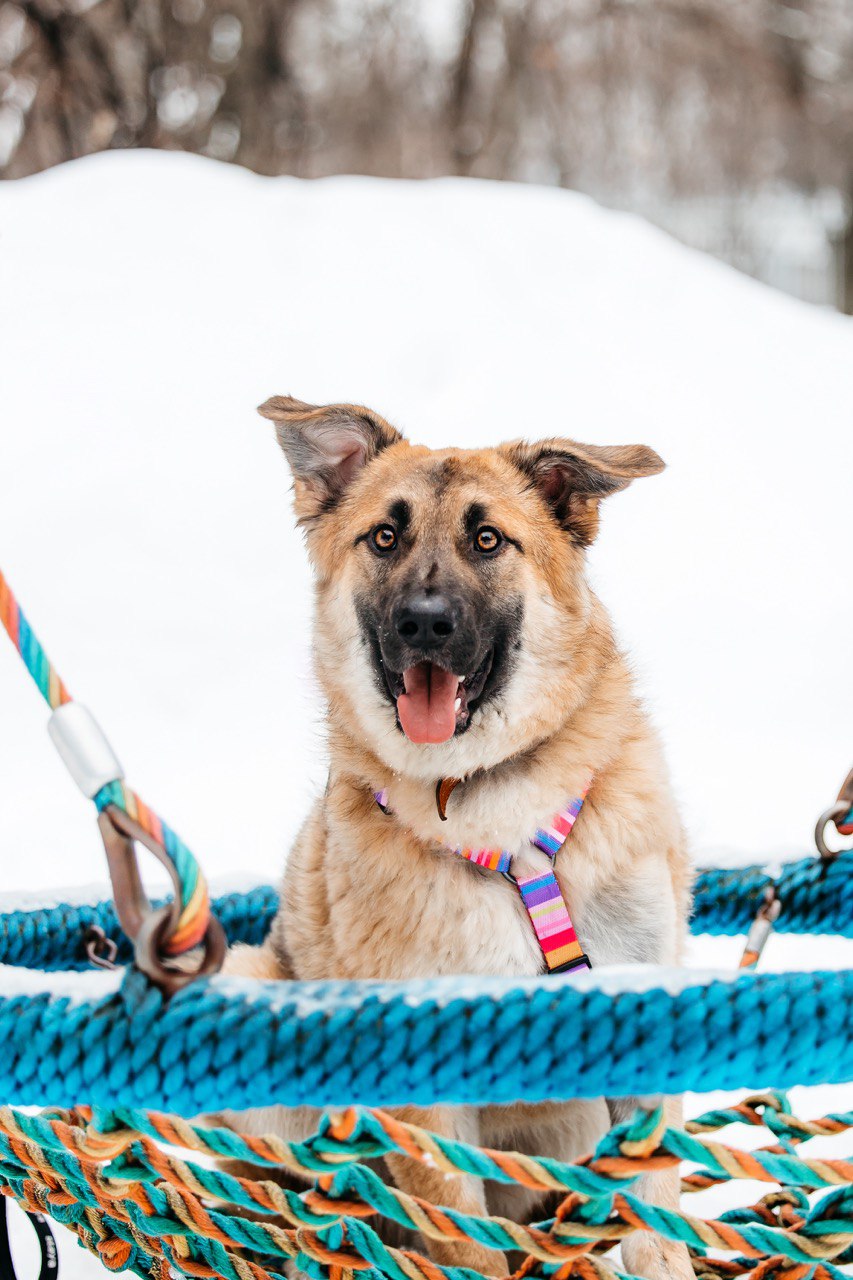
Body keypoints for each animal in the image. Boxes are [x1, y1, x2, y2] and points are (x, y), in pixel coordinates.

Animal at [224, 391, 691, 1280]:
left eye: (487, 540)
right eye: (384, 537)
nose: (423, 624)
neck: (490, 807)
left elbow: (656, 1229)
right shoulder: (425, 1090)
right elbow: (461, 1241)